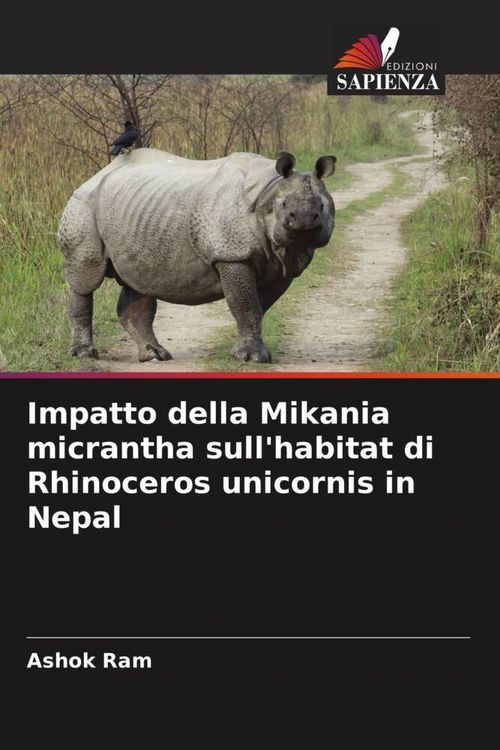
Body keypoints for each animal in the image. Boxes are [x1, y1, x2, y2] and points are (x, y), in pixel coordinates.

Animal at [58, 147, 336, 364]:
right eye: (285, 206)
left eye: (323, 206)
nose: (304, 222)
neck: (271, 188)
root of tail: (96, 175)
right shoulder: (231, 254)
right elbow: (247, 306)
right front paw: (252, 358)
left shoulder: (283, 268)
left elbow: (258, 306)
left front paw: (245, 352)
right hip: (82, 205)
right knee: (85, 278)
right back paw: (84, 355)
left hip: (136, 213)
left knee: (140, 280)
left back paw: (155, 355)